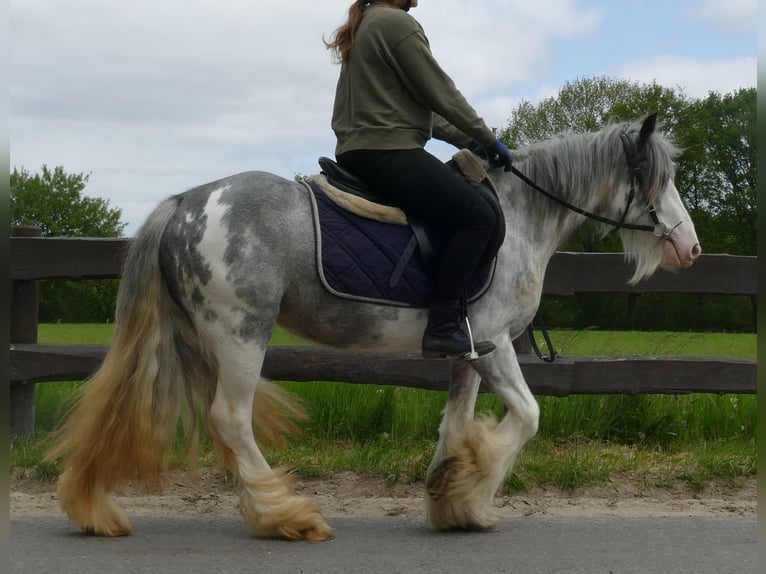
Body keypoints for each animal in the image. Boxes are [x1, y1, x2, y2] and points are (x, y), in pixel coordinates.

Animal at [46, 115, 704, 544]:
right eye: (659, 179)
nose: (691, 248)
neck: (520, 218)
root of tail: (185, 202)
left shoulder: (470, 350)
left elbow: (455, 423)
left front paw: (453, 497)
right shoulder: (495, 348)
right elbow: (526, 417)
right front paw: (471, 488)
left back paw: (103, 509)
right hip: (240, 335)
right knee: (230, 420)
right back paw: (286, 517)